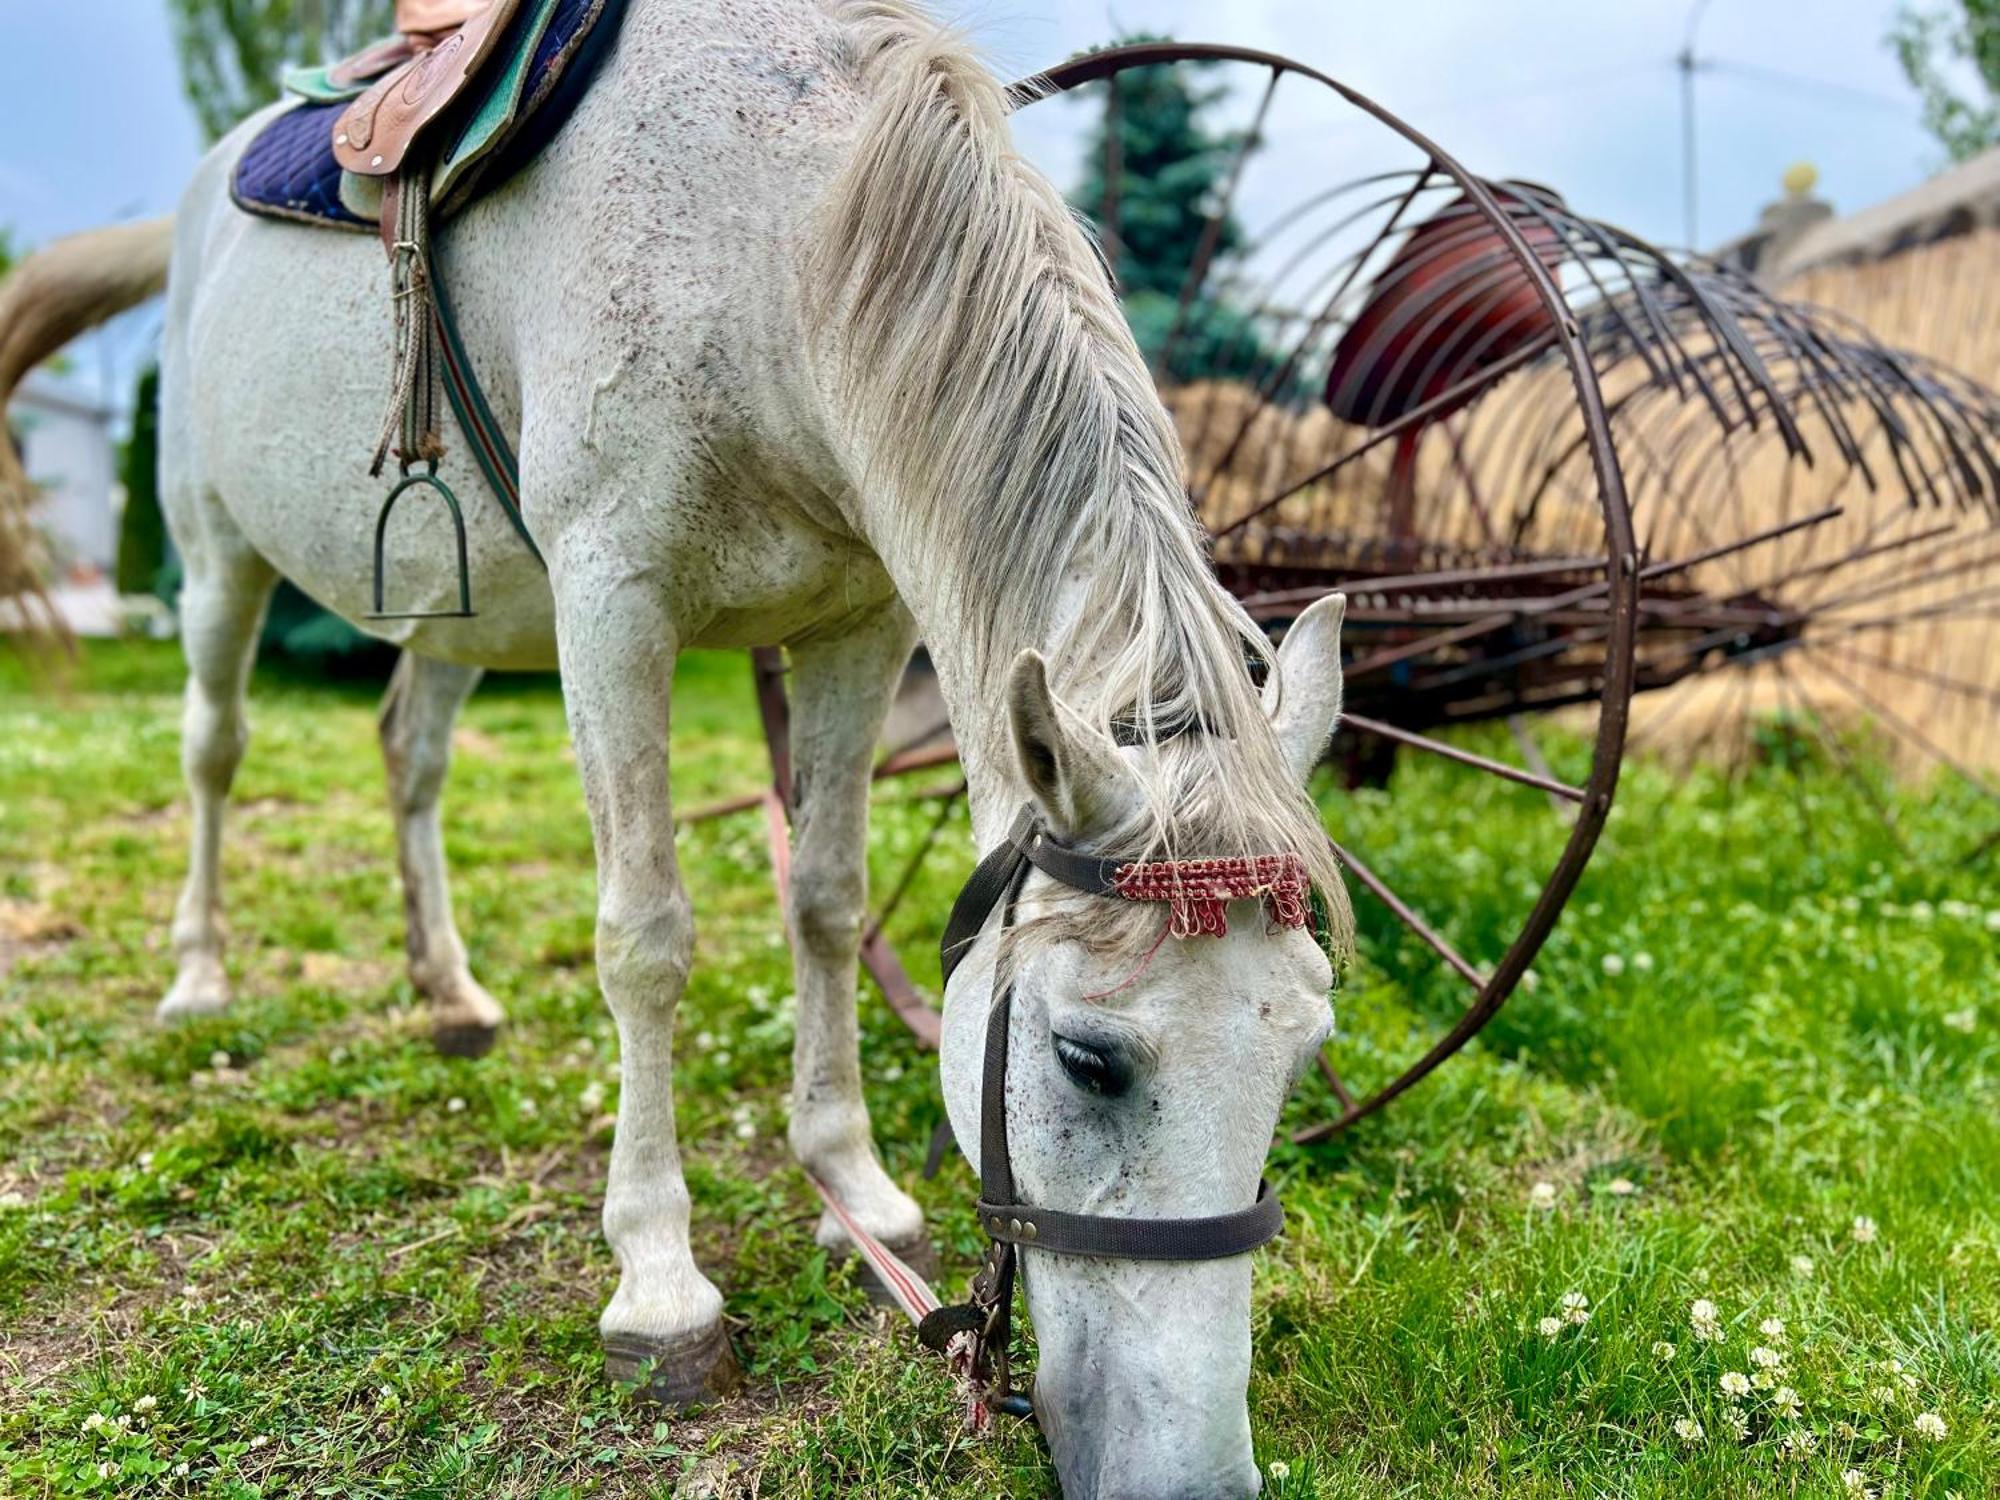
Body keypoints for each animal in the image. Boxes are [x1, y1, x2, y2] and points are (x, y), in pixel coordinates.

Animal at [7, 5, 1352, 1496]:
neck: (774, 239)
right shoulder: (614, 601)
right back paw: (198, 976)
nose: (1195, 1478)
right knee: (215, 749)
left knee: (409, 756)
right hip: (214, 558)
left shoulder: (858, 626)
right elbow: (644, 937)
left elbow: (823, 902)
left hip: (451, 601)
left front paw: (852, 1187)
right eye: (1085, 1060)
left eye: (1304, 1053)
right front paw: (660, 1282)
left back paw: (448, 989)